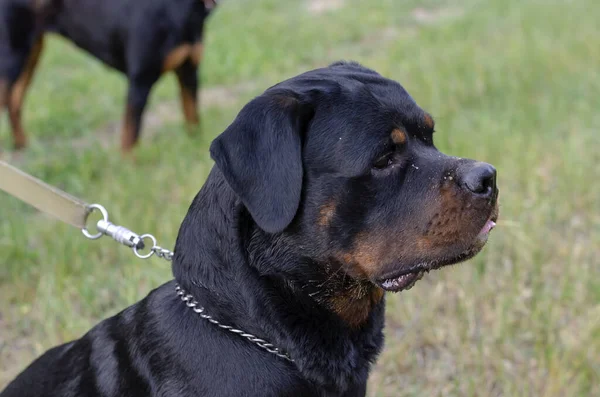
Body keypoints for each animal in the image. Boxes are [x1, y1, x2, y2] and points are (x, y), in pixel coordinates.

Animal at [0, 0, 218, 152]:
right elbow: (130, 136)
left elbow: (192, 116)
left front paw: (195, 145)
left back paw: (22, 144)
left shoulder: (189, 71)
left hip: (31, 54)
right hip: (12, 55)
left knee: (14, 102)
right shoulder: (140, 80)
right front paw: (130, 170)